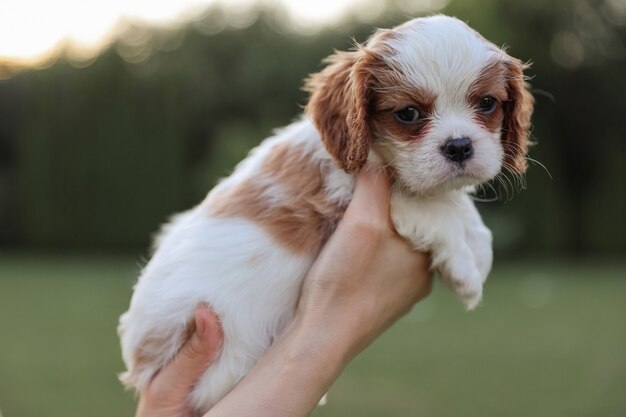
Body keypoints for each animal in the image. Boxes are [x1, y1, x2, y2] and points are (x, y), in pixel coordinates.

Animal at [118, 15, 532, 412]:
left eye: (487, 104)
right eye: (408, 113)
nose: (459, 146)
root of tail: (139, 361)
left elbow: (459, 207)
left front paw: (479, 246)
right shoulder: (366, 192)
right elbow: (435, 208)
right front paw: (465, 272)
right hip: (228, 358)